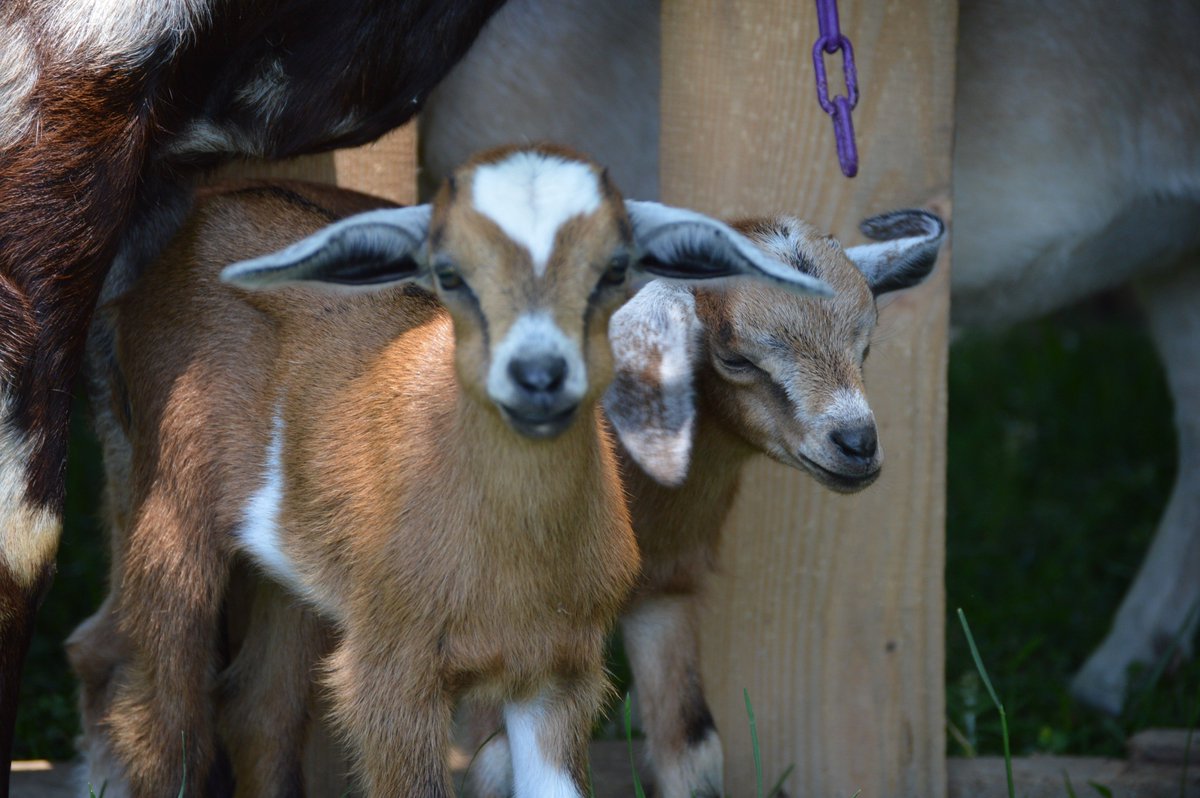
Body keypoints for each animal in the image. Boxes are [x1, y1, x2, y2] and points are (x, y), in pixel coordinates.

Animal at [66, 145, 832, 796]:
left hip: (294, 563)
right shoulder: (391, 673)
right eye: (452, 270)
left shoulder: (561, 669)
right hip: (169, 503)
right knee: (154, 710)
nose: (538, 374)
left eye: (613, 269)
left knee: (252, 706)